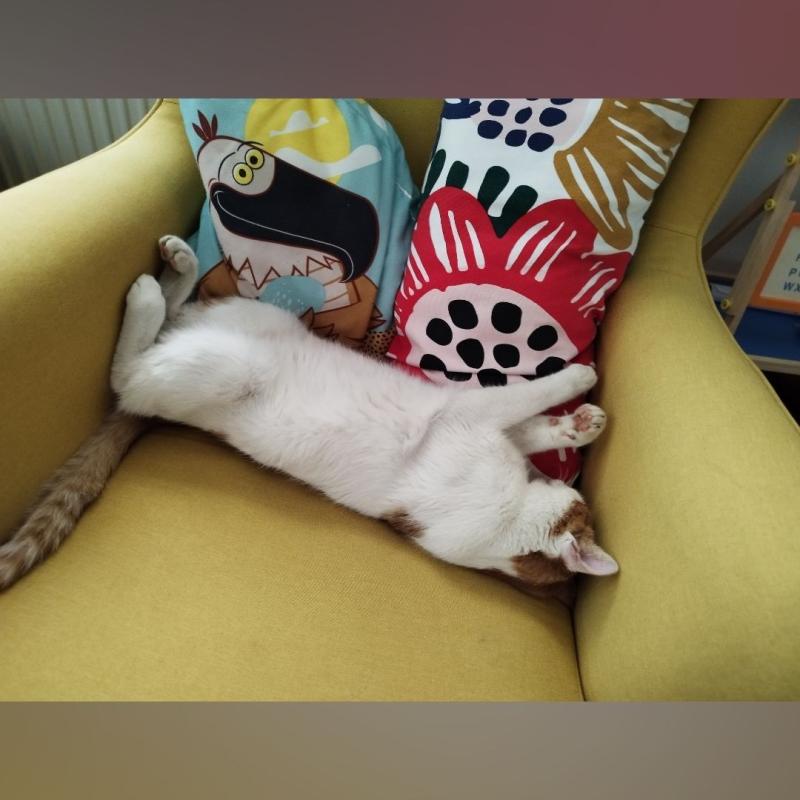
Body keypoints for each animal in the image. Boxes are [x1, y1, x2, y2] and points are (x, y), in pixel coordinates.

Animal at [0, 236, 617, 599]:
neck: (511, 524)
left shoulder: (464, 417)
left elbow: (521, 411)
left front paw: (576, 399)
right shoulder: (471, 414)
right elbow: (526, 414)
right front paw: (579, 407)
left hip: (218, 367)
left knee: (128, 371)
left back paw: (152, 290)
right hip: (251, 321)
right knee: (175, 317)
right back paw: (176, 264)